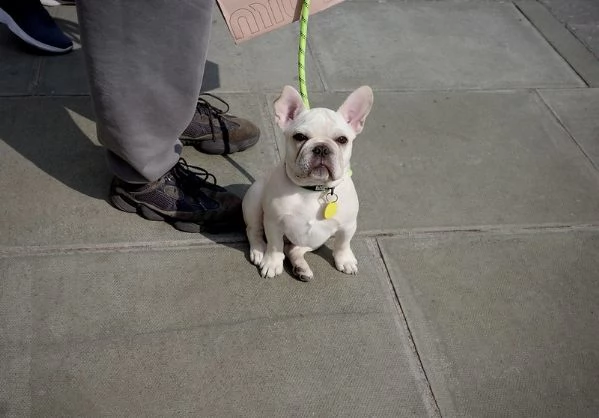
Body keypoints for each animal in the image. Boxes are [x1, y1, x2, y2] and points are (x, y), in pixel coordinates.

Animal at [241, 85, 372, 280]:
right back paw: (259, 251)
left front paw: (345, 260)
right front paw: (272, 262)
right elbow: (274, 246)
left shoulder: (348, 226)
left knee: (293, 250)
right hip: (255, 199)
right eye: (300, 137)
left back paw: (301, 268)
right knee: (254, 230)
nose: (322, 148)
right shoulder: (273, 223)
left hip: (313, 241)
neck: (313, 189)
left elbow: (343, 244)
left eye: (342, 140)